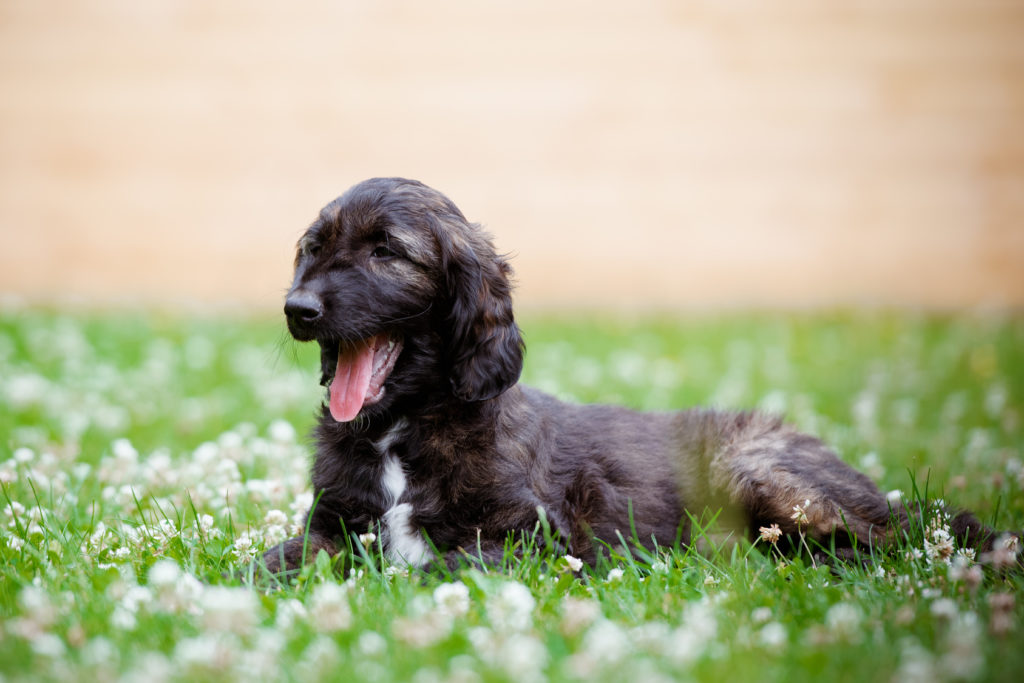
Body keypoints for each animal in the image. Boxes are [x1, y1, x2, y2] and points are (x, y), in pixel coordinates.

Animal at [262, 176, 1015, 573]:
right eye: (313, 247)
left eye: (387, 250)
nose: (297, 309)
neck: (403, 428)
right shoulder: (334, 523)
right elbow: (280, 555)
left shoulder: (528, 536)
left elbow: (425, 563)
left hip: (765, 474)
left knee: (900, 536)